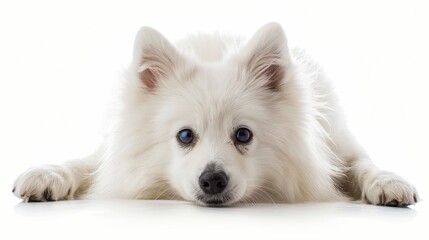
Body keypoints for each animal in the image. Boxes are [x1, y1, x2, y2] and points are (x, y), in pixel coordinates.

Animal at [14, 23, 418, 206]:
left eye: (243, 135)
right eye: (184, 136)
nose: (212, 180)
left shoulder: (339, 149)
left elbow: (362, 164)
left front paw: (387, 182)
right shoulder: (109, 155)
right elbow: (81, 164)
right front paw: (46, 175)